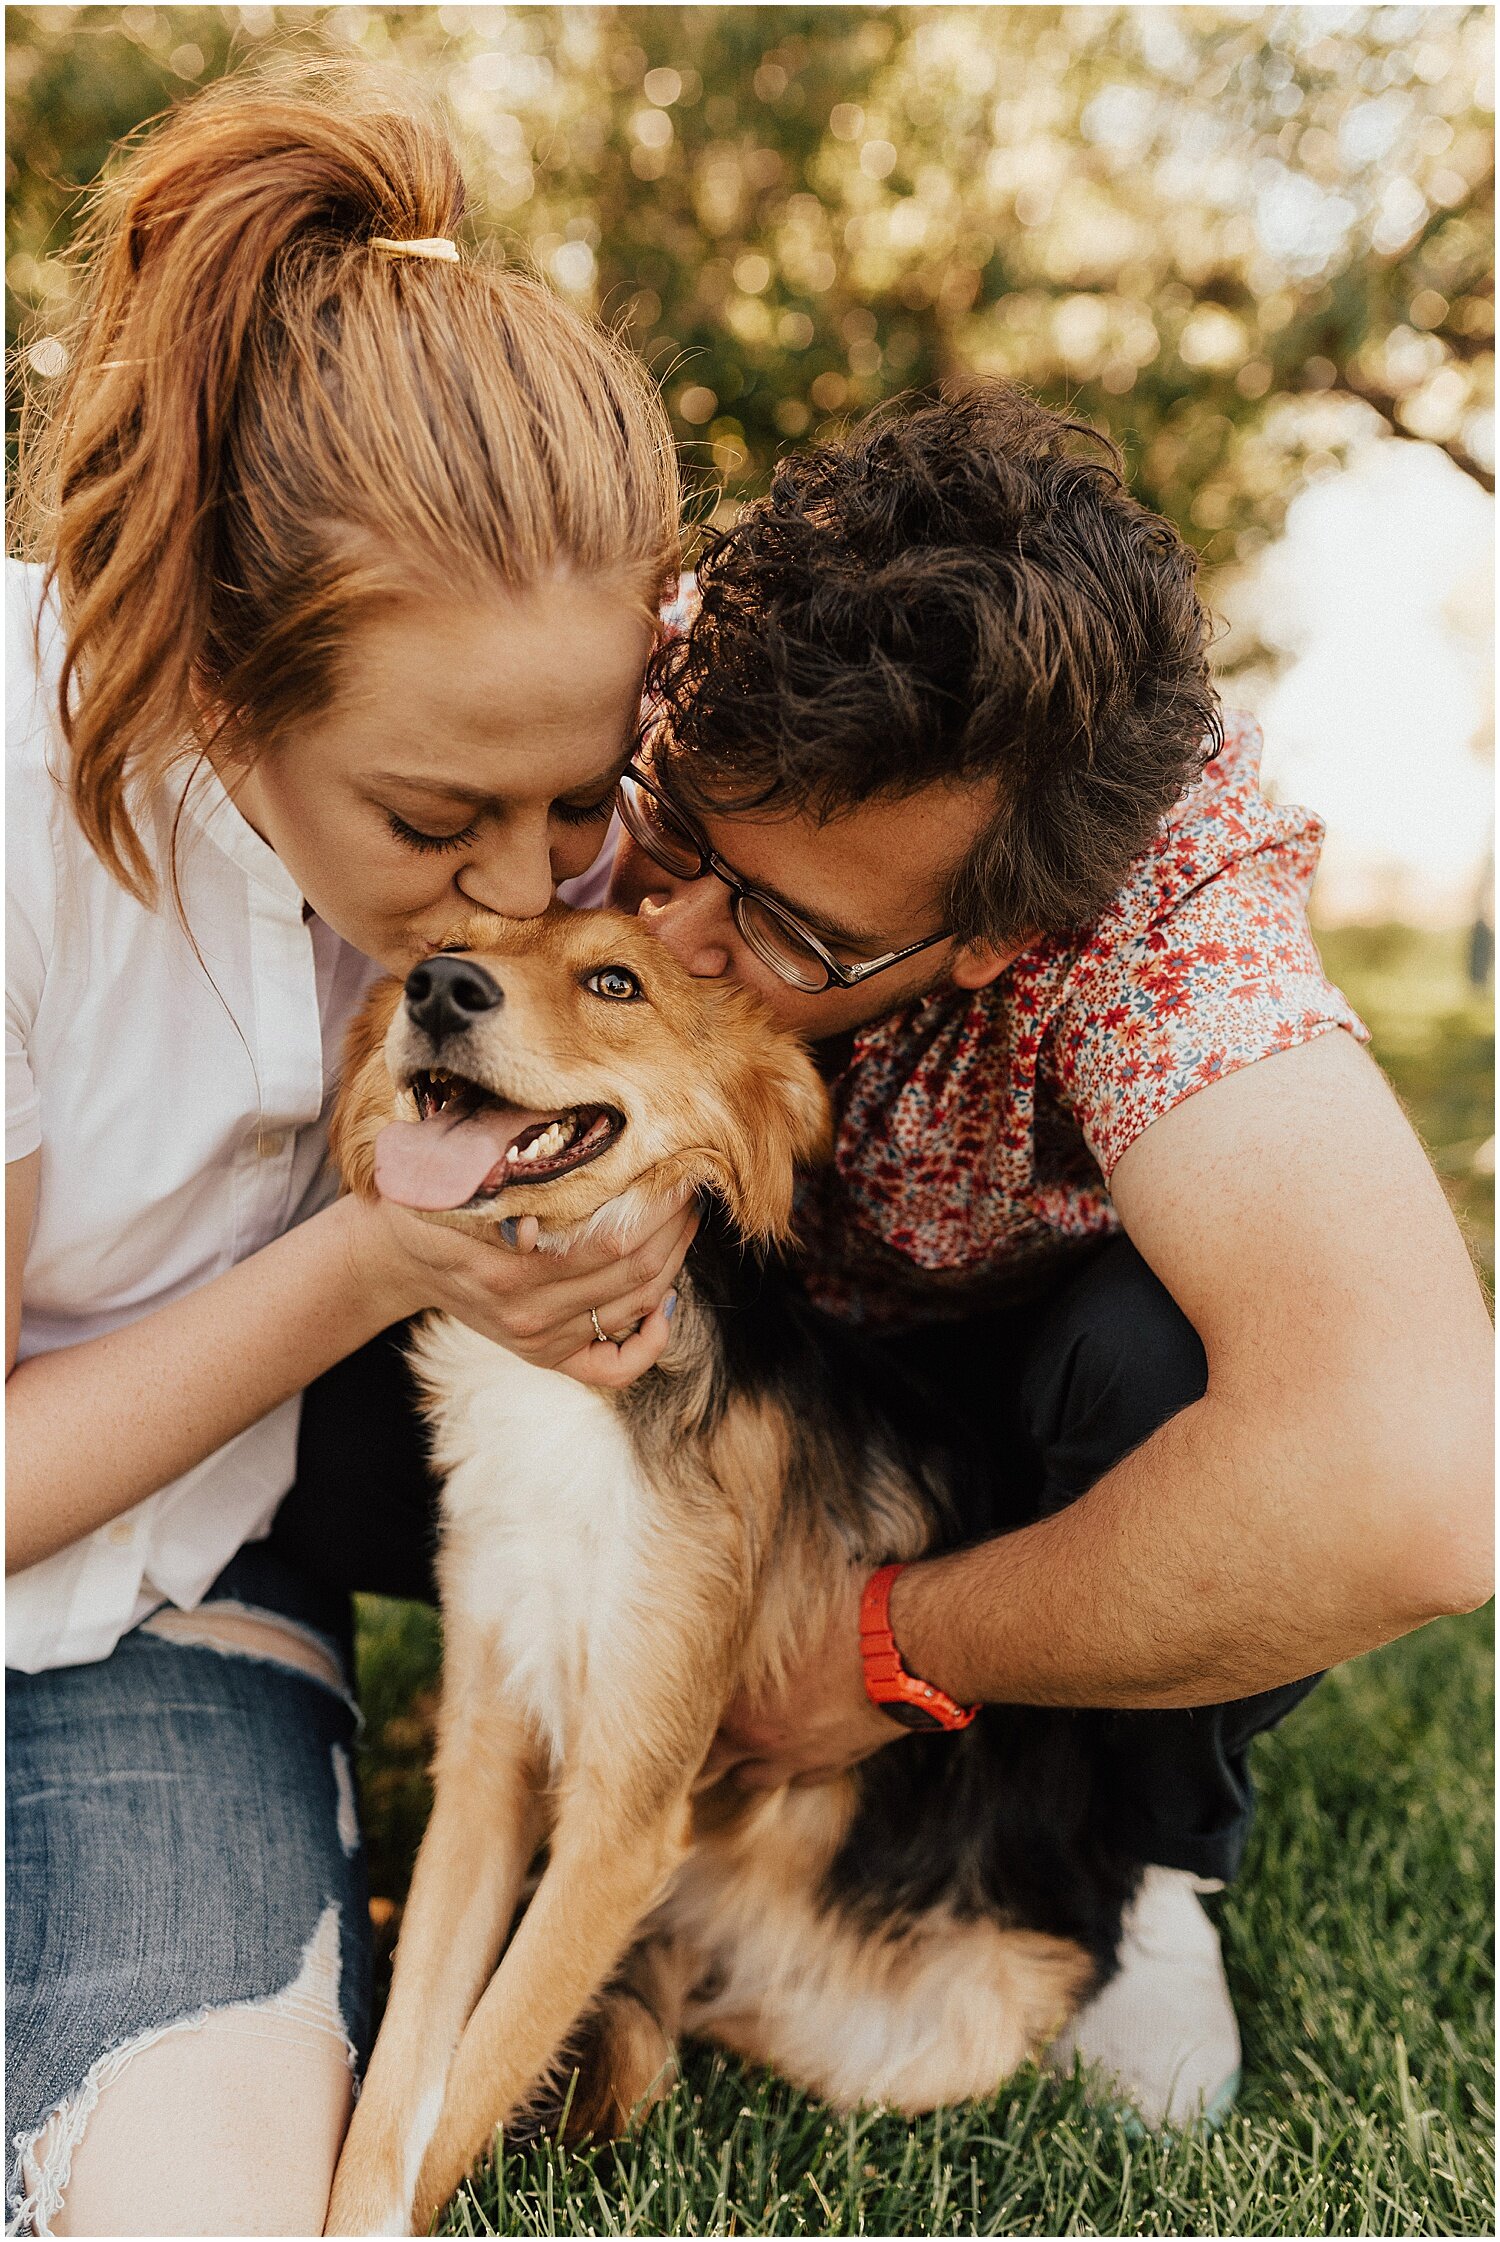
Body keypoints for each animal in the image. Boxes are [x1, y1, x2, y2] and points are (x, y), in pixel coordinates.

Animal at [318, 901, 1134, 2233]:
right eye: (452, 937)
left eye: (615, 981)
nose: (439, 988)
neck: (576, 1389)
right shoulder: (488, 1752)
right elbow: (398, 2097)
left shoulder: (624, 1813)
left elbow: (475, 2070)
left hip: (945, 2031)